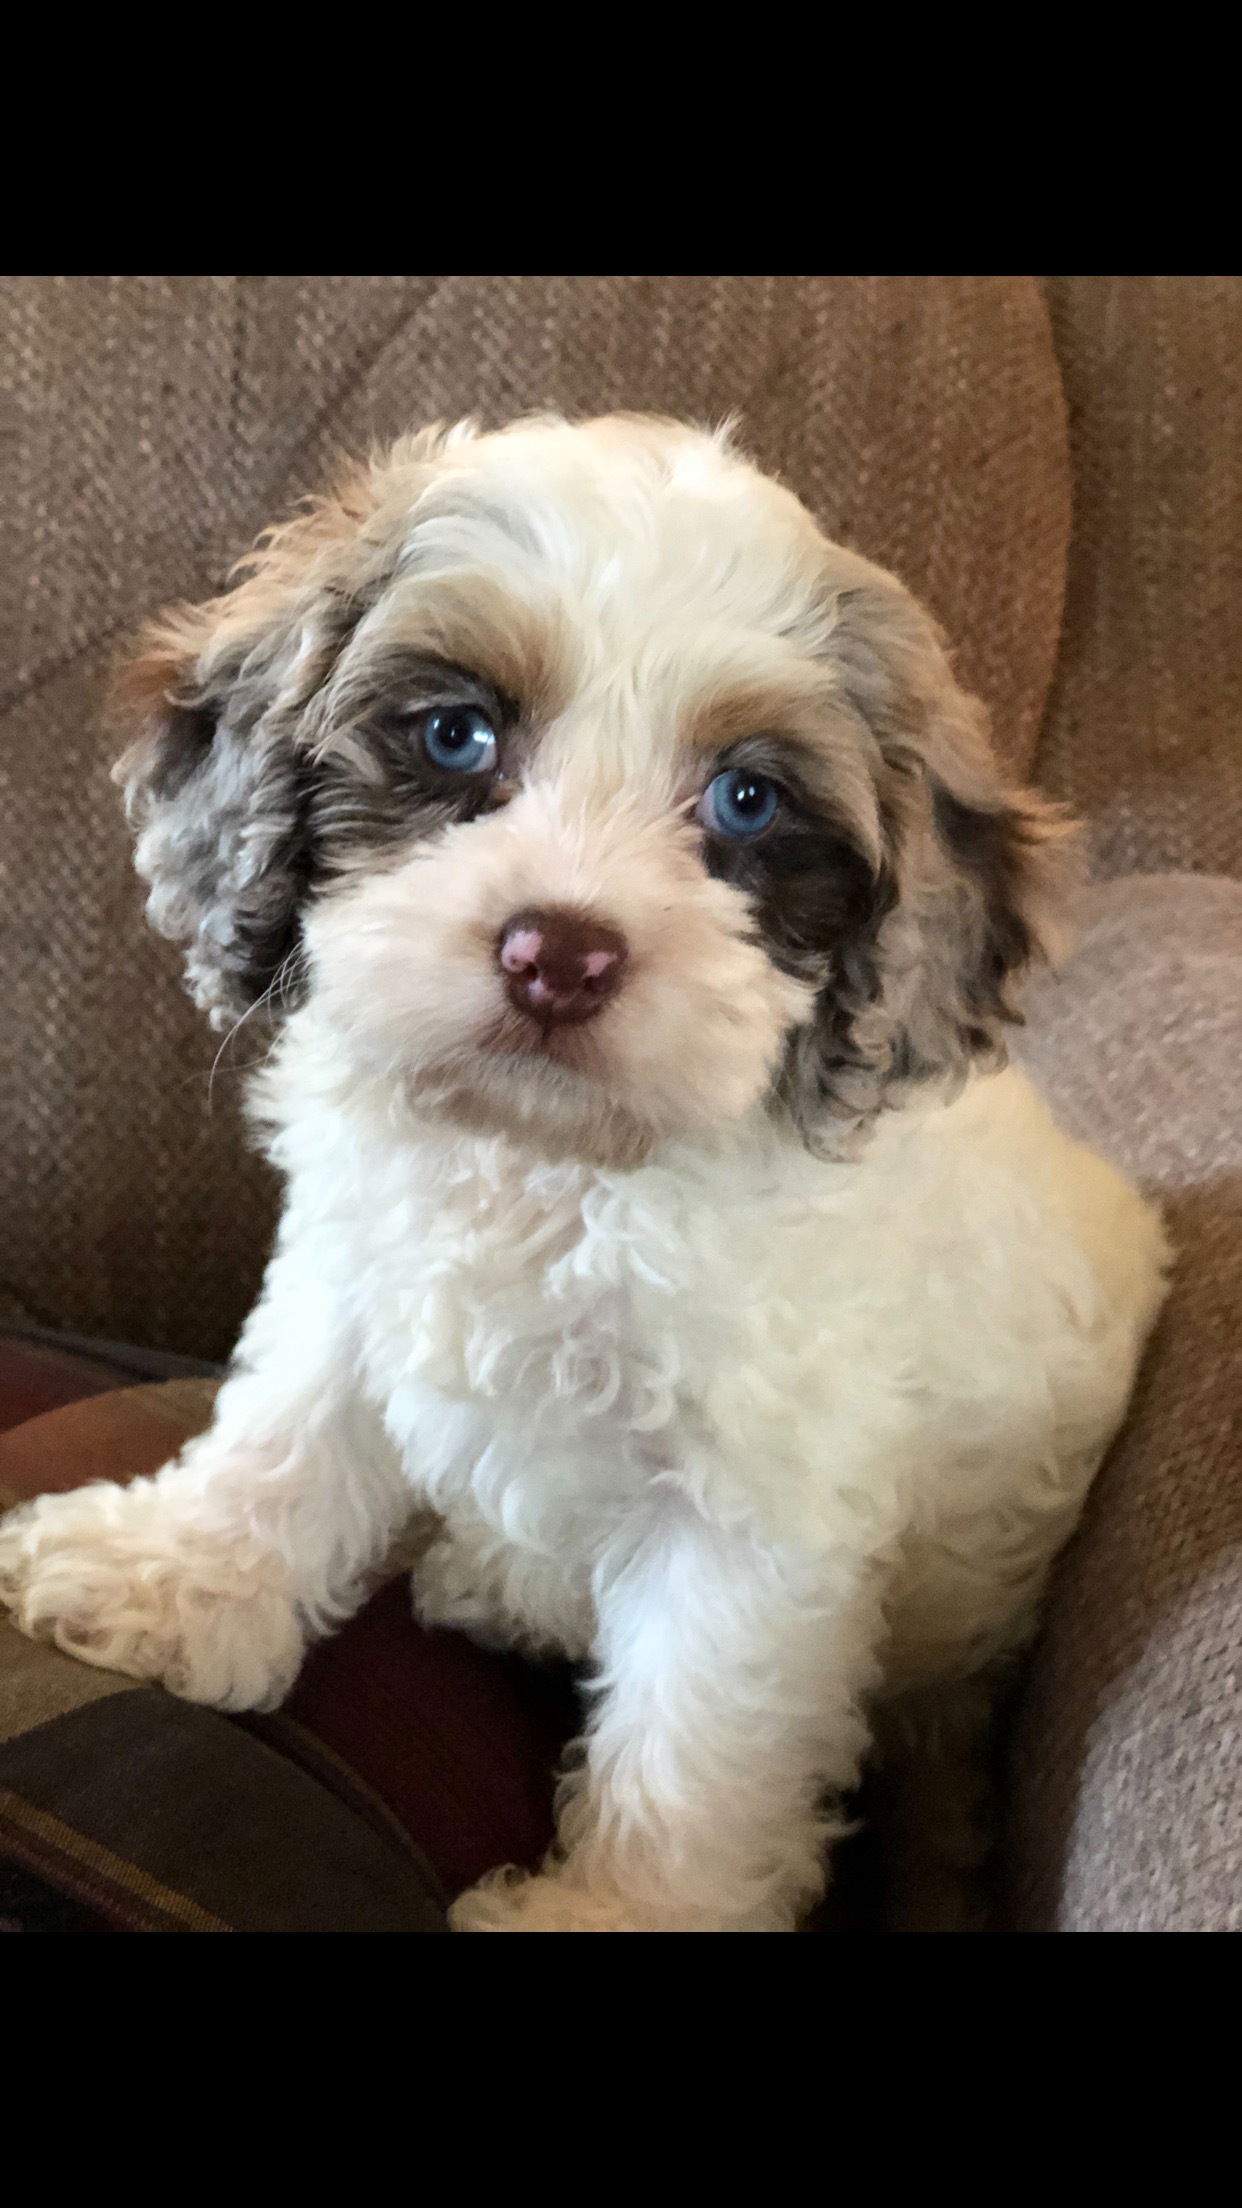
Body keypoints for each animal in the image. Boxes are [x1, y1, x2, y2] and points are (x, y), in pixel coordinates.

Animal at [0, 417, 1166, 1934]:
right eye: (456, 733)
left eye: (746, 800)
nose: (556, 953)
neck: (555, 1164)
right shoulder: (354, 1271)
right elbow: (283, 1429)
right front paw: (174, 1579)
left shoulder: (759, 1504)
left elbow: (695, 1734)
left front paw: (624, 1911)